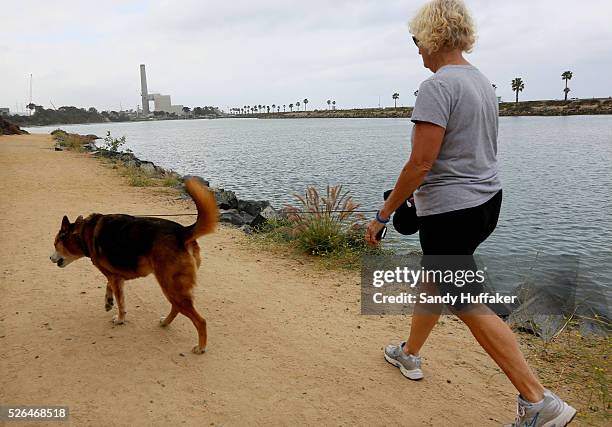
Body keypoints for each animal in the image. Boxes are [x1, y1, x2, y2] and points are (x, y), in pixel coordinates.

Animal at [50, 178, 219, 354]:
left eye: (55, 244)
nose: (50, 258)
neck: (83, 232)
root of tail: (182, 232)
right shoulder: (116, 277)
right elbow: (109, 287)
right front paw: (108, 301)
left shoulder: (115, 277)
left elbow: (120, 302)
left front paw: (120, 318)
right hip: (172, 288)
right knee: (176, 307)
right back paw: (165, 322)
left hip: (172, 287)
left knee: (200, 320)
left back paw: (201, 347)